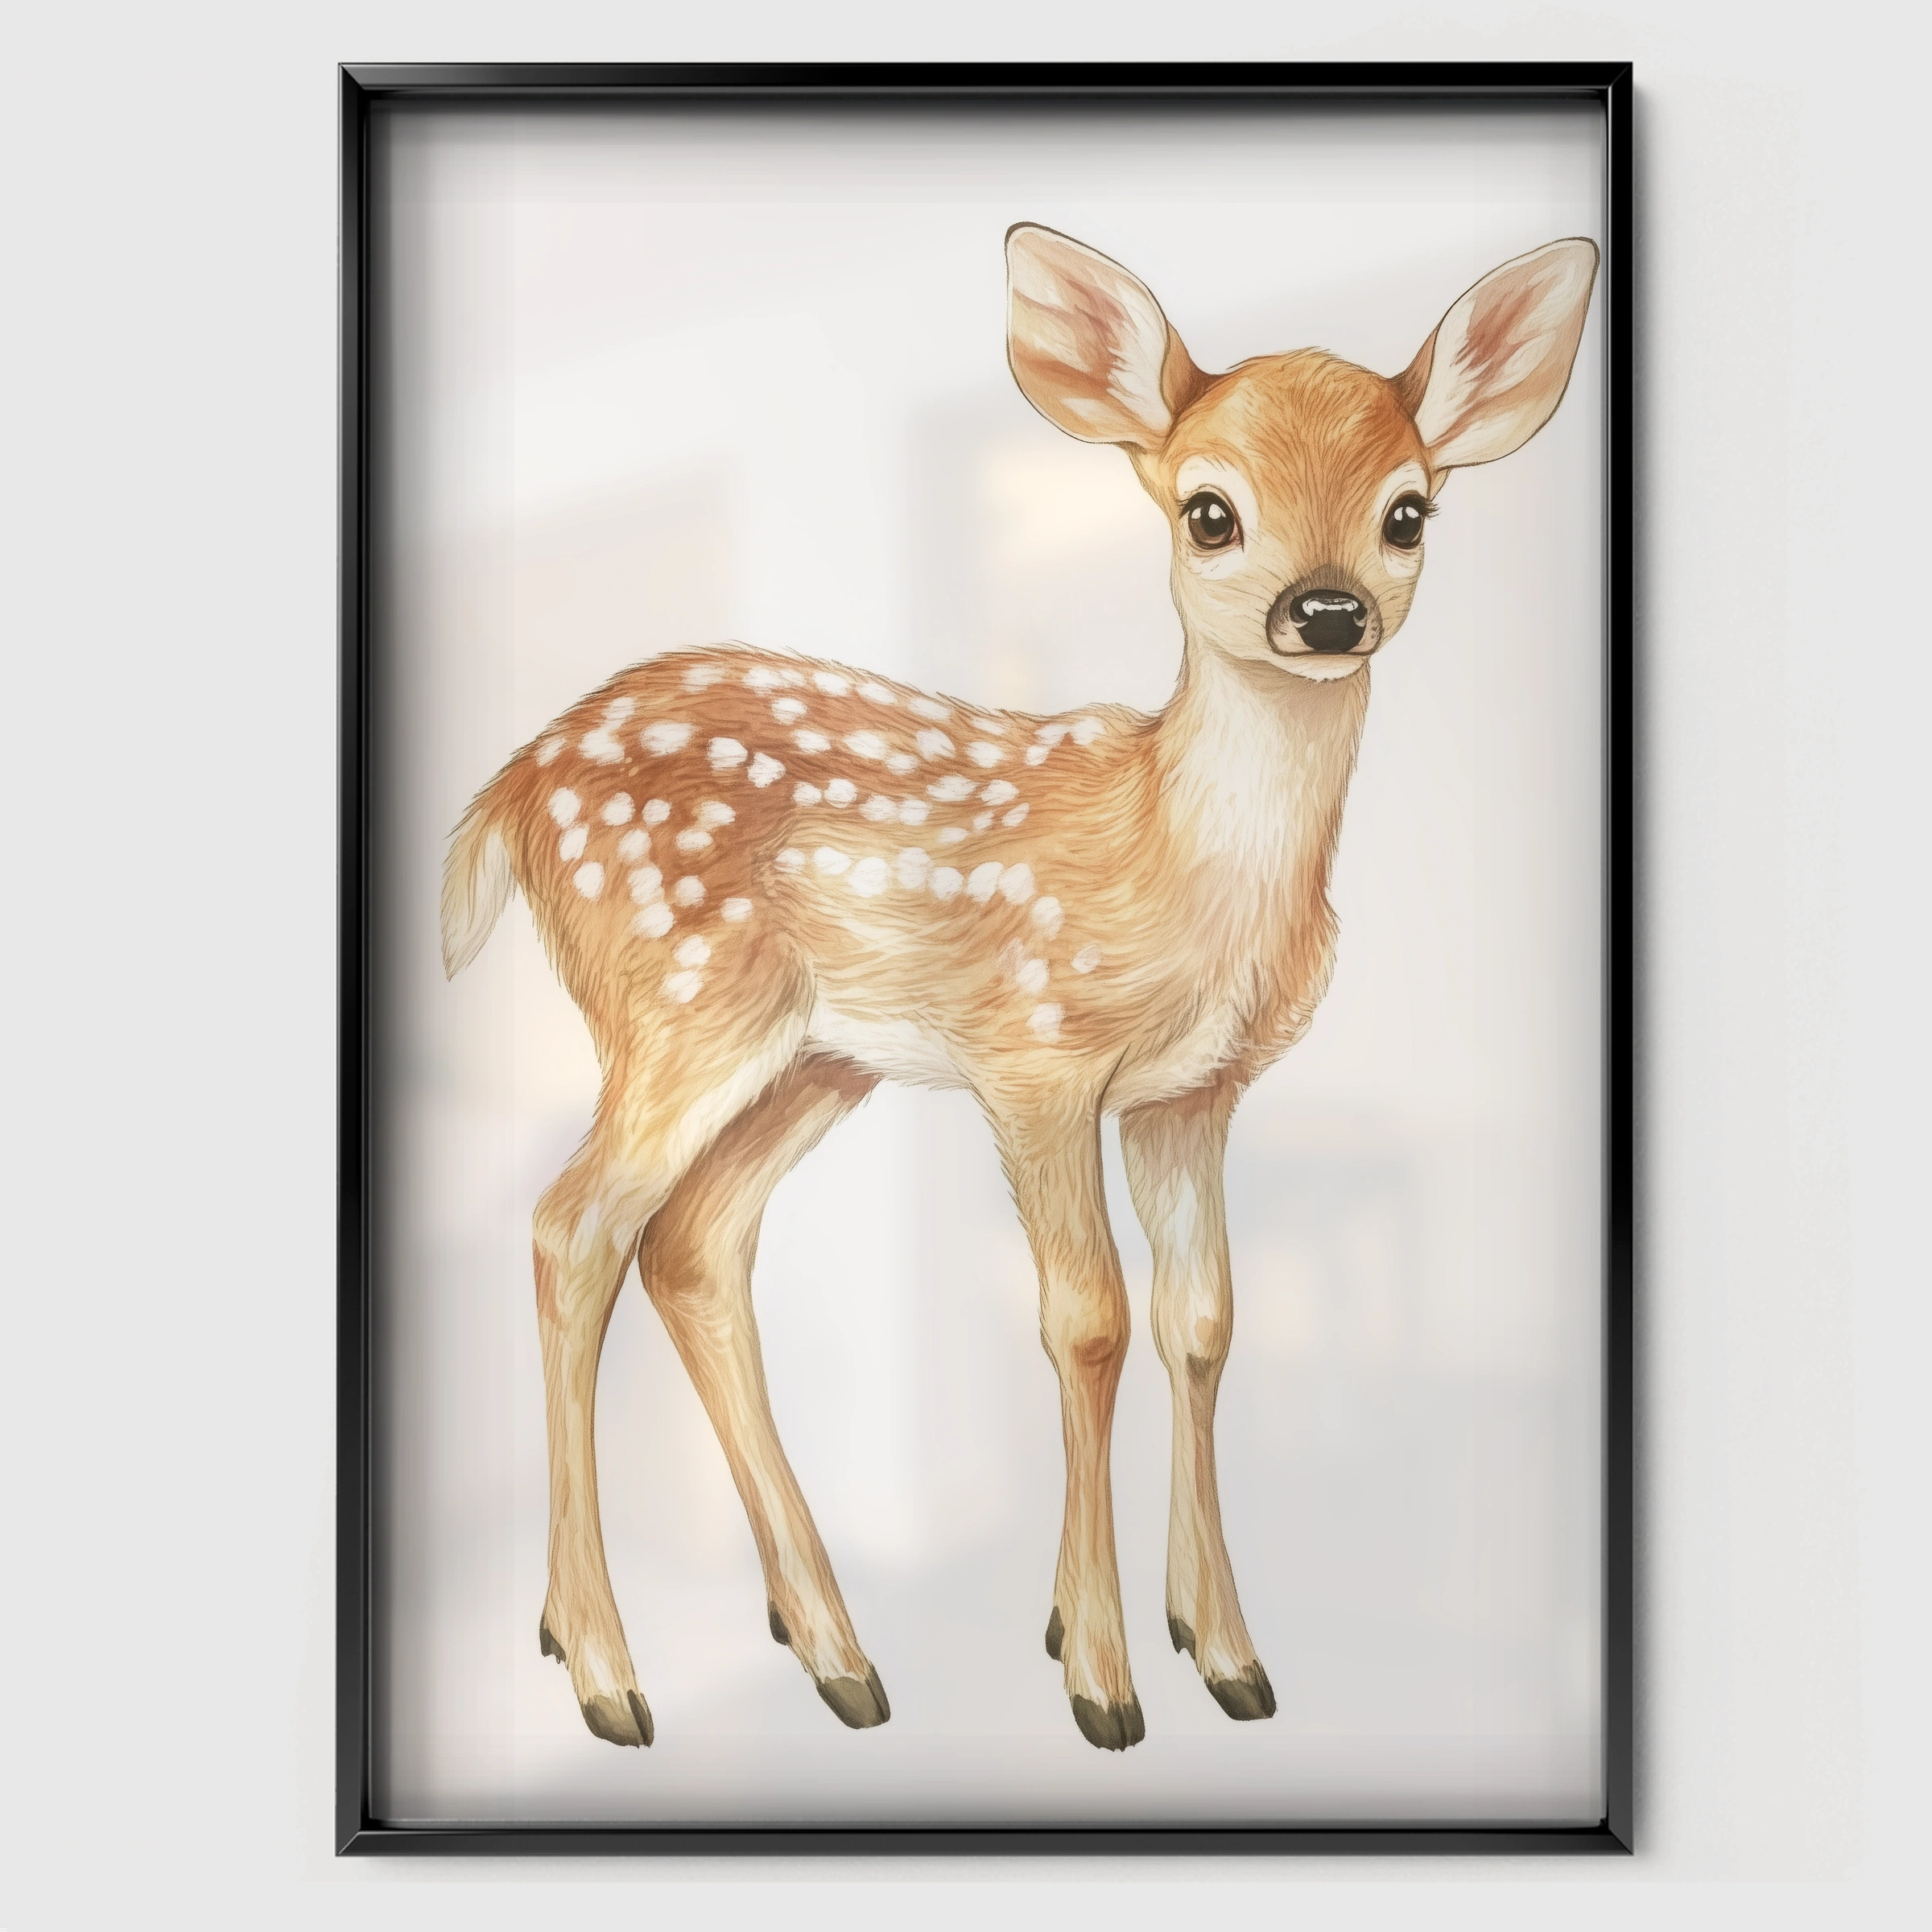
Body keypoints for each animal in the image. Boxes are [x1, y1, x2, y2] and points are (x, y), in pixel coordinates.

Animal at [440, 224, 1598, 1753]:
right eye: (1210, 511)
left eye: (1409, 512)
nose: (1327, 609)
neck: (1180, 866)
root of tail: (514, 784)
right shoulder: (1037, 1057)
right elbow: (1087, 1322)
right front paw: (1102, 1679)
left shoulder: (1192, 1096)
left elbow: (1204, 1323)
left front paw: (1221, 1653)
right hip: (677, 999)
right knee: (571, 1228)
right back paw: (606, 1673)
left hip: (816, 1057)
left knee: (691, 1244)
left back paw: (832, 1651)